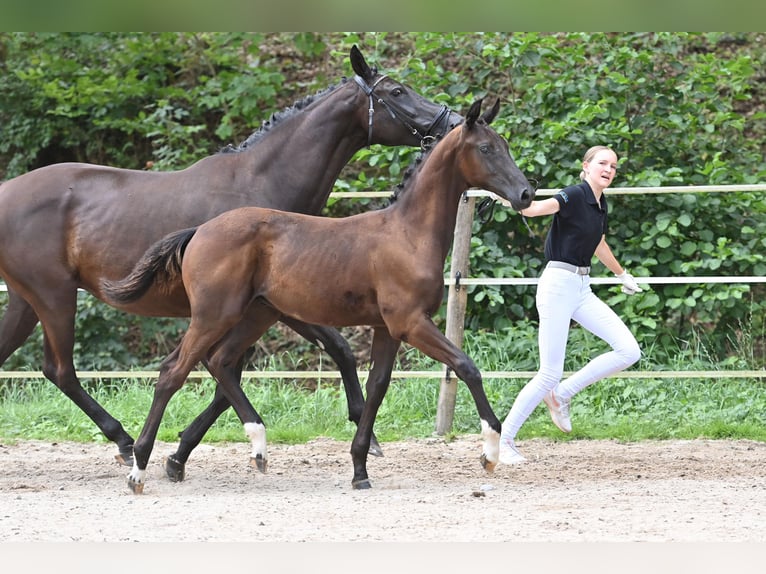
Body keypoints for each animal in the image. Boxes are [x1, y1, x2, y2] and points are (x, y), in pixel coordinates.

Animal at [0, 45, 462, 468]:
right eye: (397, 91)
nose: (453, 121)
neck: (260, 181)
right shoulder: (270, 304)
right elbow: (252, 367)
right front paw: (185, 452)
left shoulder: (265, 304)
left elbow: (247, 371)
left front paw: (183, 449)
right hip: (54, 296)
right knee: (61, 370)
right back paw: (126, 442)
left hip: (27, 300)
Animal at [100, 97, 536, 492]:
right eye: (486, 148)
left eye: (505, 145)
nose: (526, 194)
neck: (407, 233)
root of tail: (199, 231)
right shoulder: (410, 323)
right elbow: (466, 367)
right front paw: (489, 452)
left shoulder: (387, 329)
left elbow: (377, 387)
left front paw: (360, 469)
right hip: (214, 315)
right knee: (173, 373)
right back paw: (139, 468)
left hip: (257, 314)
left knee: (220, 362)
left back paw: (257, 446)